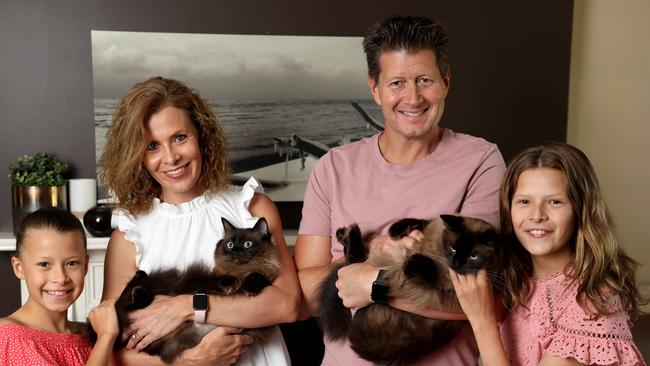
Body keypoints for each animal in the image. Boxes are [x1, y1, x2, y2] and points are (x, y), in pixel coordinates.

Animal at [316, 214, 498, 366]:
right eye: (453, 248)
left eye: (473, 257)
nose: (456, 264)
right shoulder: (430, 226)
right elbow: (420, 221)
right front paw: (395, 230)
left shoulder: (447, 292)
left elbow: (427, 273)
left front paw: (415, 263)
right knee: (354, 260)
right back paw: (345, 234)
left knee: (354, 260)